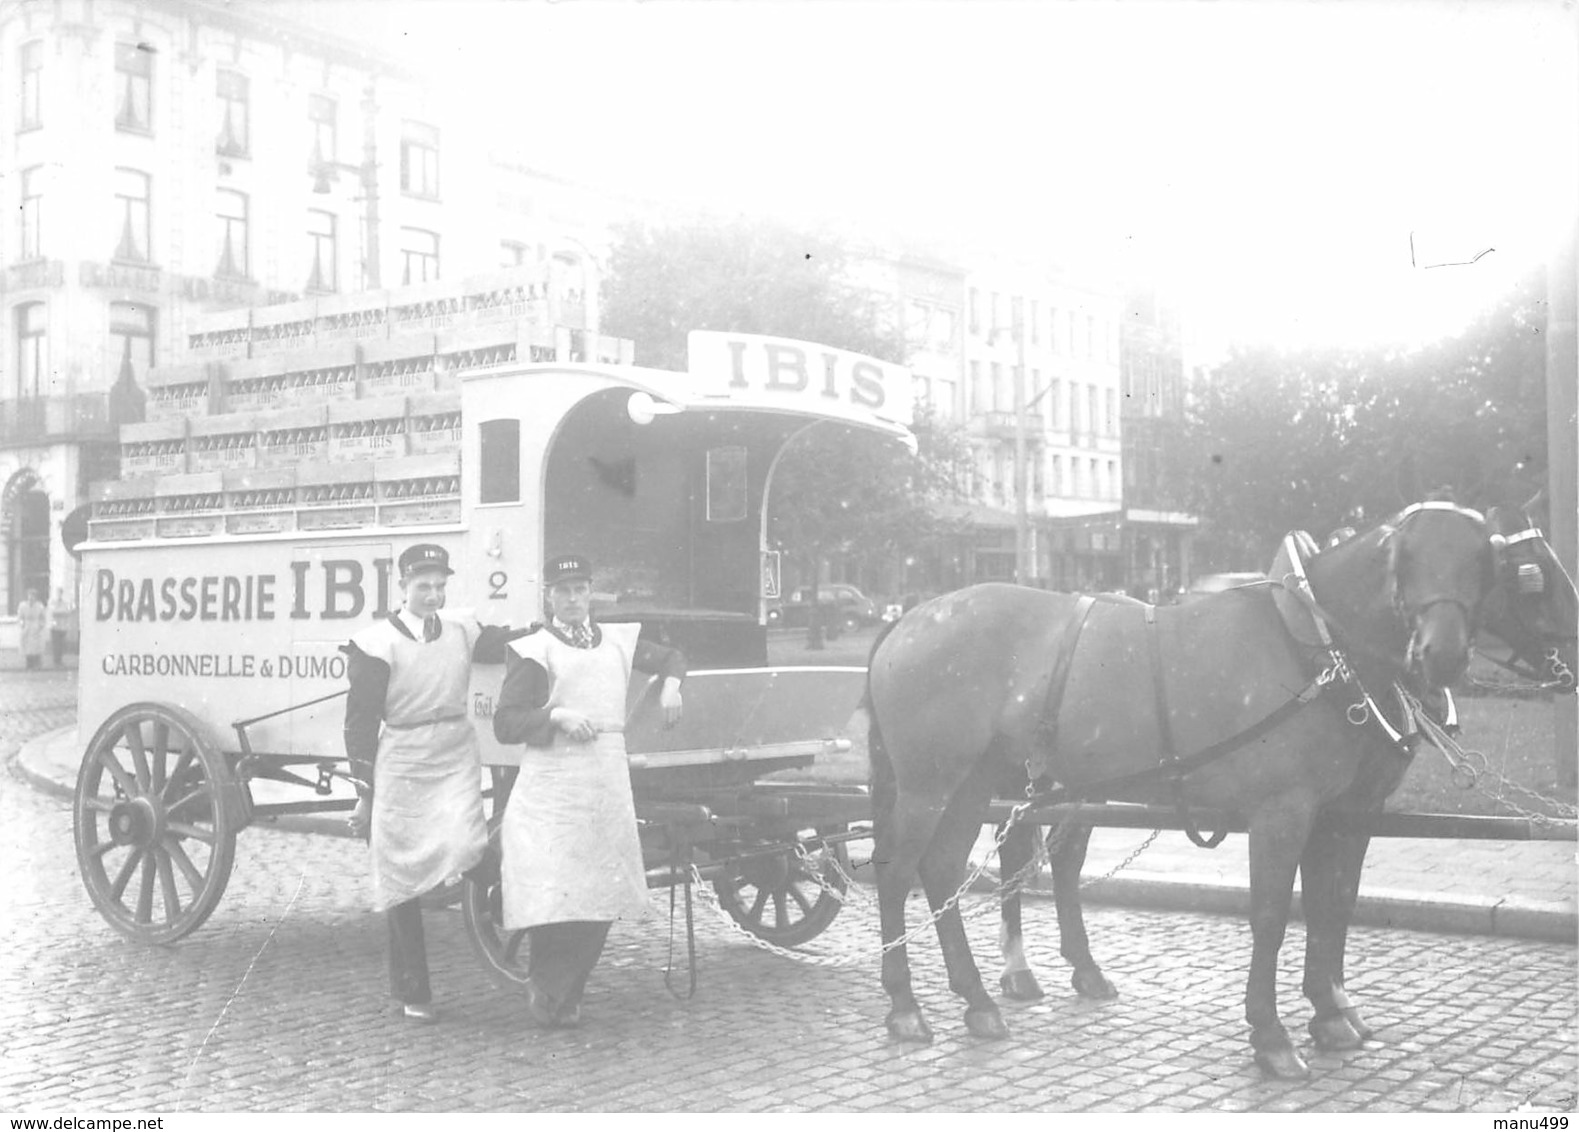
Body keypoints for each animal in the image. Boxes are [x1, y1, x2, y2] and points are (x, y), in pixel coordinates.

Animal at [865, 505, 1490, 1079]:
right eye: (1408, 559)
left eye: (1481, 561)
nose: (1443, 654)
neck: (1308, 646)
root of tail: (910, 620)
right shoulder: (1283, 811)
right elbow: (1271, 915)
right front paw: (1271, 1034)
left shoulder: (1335, 813)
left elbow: (1330, 905)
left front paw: (1332, 1016)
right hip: (928, 786)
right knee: (898, 876)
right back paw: (905, 1005)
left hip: (971, 783)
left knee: (944, 870)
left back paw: (977, 999)